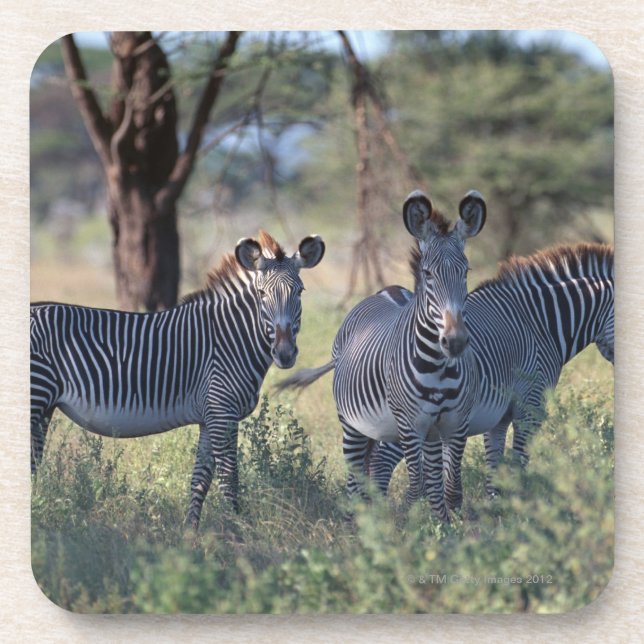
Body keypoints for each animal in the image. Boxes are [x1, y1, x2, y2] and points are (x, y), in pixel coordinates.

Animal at [30, 231, 325, 528]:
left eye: (300, 292)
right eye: (262, 294)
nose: (285, 353)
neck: (230, 339)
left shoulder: (210, 417)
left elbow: (201, 479)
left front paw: (191, 532)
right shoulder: (222, 412)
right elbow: (229, 478)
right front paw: (238, 529)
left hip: (45, 407)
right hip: (36, 394)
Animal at [277, 189, 487, 521]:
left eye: (465, 272)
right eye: (428, 274)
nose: (455, 342)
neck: (438, 368)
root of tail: (388, 289)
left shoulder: (455, 424)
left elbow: (449, 490)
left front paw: (445, 528)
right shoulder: (410, 426)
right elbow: (416, 487)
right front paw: (410, 526)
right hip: (353, 424)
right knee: (355, 478)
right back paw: (357, 521)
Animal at [365, 242, 614, 502]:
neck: (541, 326)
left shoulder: (499, 414)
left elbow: (495, 463)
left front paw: (496, 504)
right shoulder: (530, 405)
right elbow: (518, 461)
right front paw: (521, 502)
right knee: (382, 461)